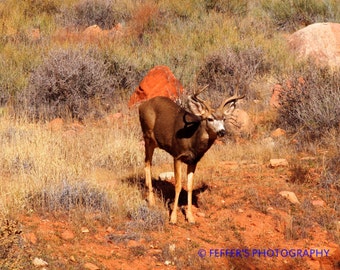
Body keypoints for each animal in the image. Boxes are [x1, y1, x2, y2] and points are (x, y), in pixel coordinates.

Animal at [139, 88, 244, 224]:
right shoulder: (177, 155)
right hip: (147, 137)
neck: (192, 141)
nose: (222, 131)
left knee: (147, 163)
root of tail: (141, 106)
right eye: (209, 119)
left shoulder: (193, 161)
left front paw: (190, 217)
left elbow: (189, 186)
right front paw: (173, 218)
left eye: (224, 119)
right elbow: (178, 185)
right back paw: (151, 201)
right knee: (147, 163)